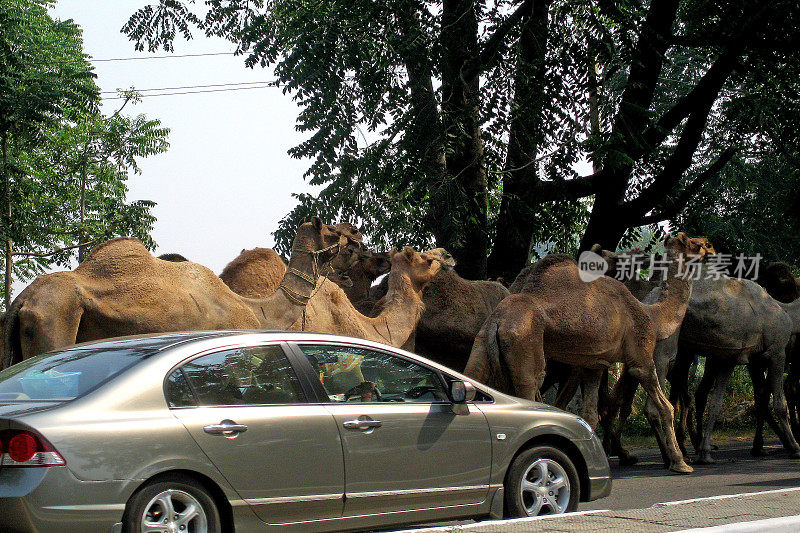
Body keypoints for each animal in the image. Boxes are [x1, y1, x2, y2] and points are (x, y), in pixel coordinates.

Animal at [462, 231, 712, 472]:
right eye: (695, 242)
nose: (710, 247)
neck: (652, 316)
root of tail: (498, 321)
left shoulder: (595, 363)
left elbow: (590, 416)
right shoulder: (641, 358)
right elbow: (665, 407)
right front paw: (680, 463)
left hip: (481, 345)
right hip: (525, 345)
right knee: (529, 394)